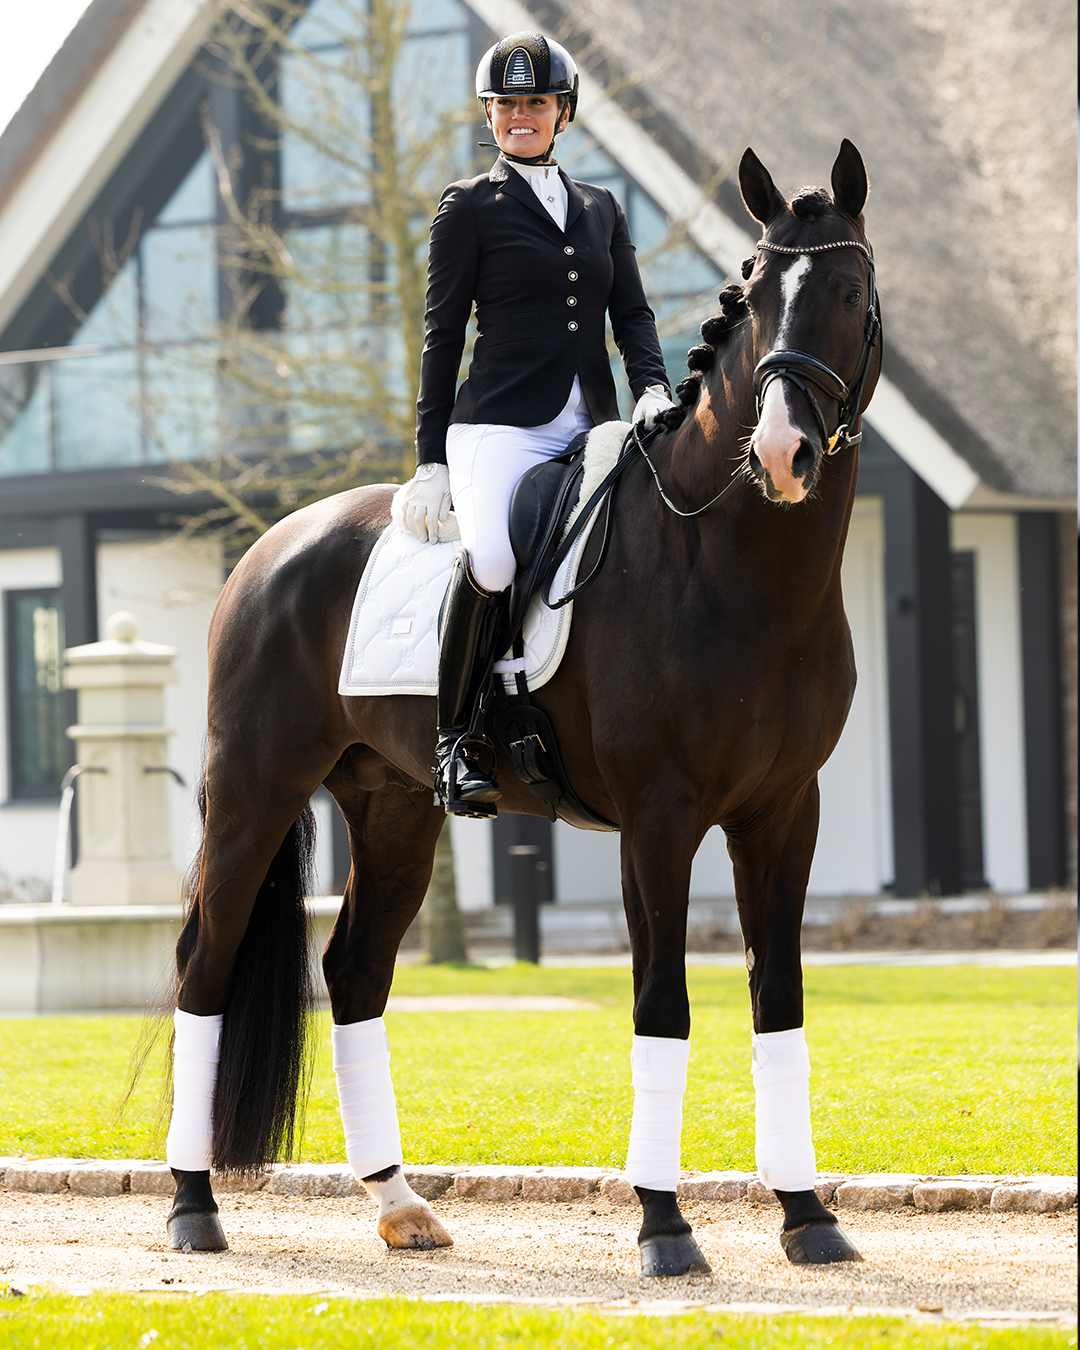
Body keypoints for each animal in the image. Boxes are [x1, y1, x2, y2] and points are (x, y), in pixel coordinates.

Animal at [162, 139, 882, 1276]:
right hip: (251, 794)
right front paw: (665, 1226)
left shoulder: (783, 813)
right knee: (206, 966)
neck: (734, 564)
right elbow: (662, 1004)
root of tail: (273, 544)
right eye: (758, 293)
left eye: (848, 294)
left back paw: (399, 1204)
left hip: (394, 811)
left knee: (355, 973)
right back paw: (194, 1206)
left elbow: (780, 1003)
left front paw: (808, 1218)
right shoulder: (659, 820)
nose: (780, 456)